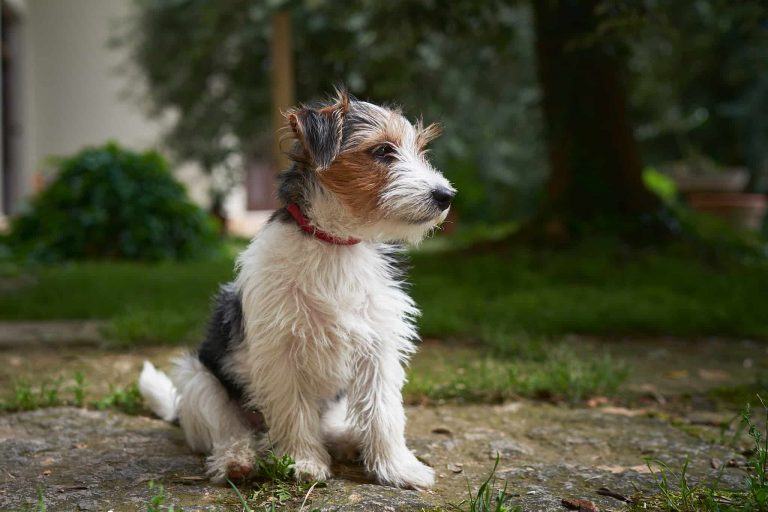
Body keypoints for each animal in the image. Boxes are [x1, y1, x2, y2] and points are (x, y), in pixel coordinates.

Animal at [139, 90, 456, 490]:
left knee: (333, 423)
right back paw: (237, 461)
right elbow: (294, 413)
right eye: (383, 151)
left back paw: (348, 440)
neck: (334, 243)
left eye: (421, 150)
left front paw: (398, 467)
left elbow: (383, 412)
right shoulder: (281, 353)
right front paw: (304, 462)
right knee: (228, 431)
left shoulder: (378, 351)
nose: (446, 195)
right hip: (200, 383)